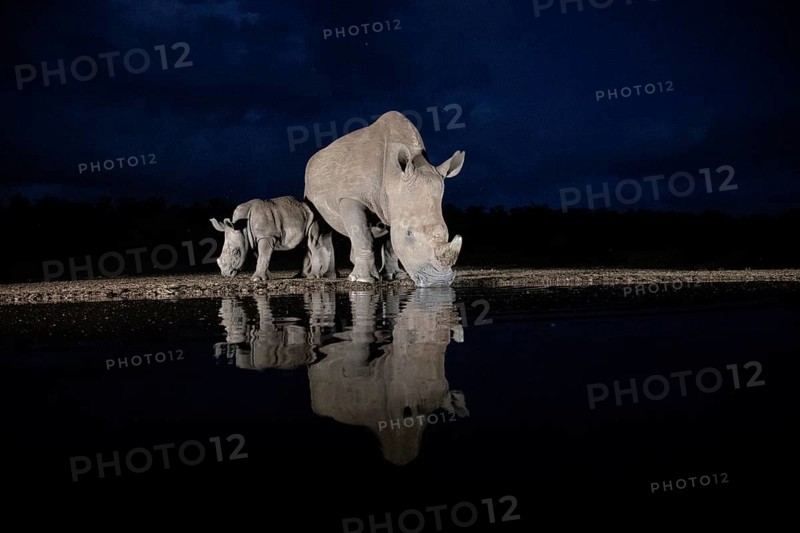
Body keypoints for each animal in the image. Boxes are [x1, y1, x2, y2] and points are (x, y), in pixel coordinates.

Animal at [304, 111, 465, 287]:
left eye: (446, 231)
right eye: (409, 234)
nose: (438, 282)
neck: (393, 175)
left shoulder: (393, 206)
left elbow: (389, 245)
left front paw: (394, 276)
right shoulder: (351, 197)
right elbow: (363, 236)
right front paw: (363, 279)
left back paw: (334, 275)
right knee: (319, 229)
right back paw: (318, 276)